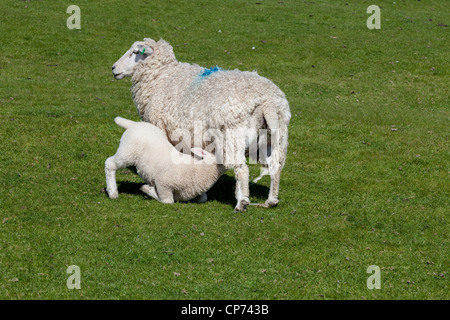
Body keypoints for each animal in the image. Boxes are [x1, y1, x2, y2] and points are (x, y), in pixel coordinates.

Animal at [110, 38, 290, 212]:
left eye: (135, 52)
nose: (113, 68)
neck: (162, 76)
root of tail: (268, 101)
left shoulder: (161, 129)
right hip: (274, 137)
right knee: (276, 166)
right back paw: (270, 201)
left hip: (232, 136)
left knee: (241, 168)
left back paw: (242, 203)